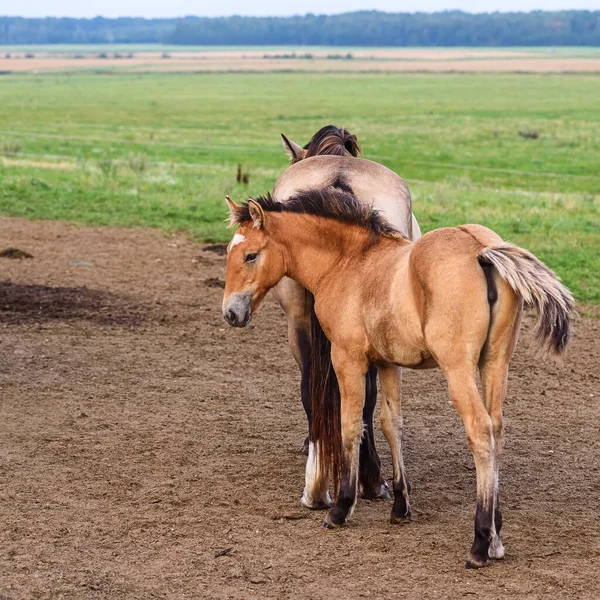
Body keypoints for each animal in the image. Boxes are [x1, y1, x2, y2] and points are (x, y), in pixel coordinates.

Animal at [223, 189, 576, 568]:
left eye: (250, 255)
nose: (230, 313)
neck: (349, 262)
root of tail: (481, 248)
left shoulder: (347, 358)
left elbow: (351, 424)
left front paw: (341, 508)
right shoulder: (388, 363)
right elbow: (391, 423)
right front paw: (400, 505)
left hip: (458, 369)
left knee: (480, 431)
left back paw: (481, 542)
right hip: (496, 363)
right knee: (497, 429)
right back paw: (496, 535)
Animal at [272, 125, 422, 506]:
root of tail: (338, 178)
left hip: (299, 320)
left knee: (312, 385)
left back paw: (318, 480)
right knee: (361, 394)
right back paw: (367, 478)